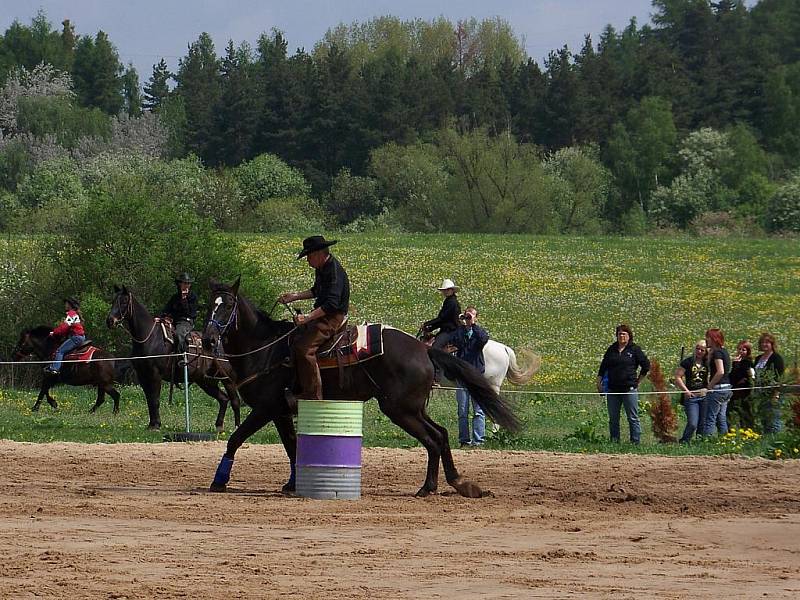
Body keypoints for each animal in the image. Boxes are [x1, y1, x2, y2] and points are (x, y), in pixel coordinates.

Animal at [105, 286, 241, 432]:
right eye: (113, 300)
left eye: (124, 301)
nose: (110, 321)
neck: (149, 338)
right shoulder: (142, 376)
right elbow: (149, 400)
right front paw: (151, 424)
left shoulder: (155, 375)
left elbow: (155, 400)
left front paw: (156, 425)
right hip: (206, 381)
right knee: (223, 399)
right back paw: (219, 426)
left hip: (227, 379)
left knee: (235, 401)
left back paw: (236, 426)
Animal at [203, 278, 520, 500]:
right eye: (209, 305)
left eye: (227, 306)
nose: (207, 339)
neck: (265, 348)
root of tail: (423, 349)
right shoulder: (281, 412)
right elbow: (293, 448)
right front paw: (293, 483)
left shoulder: (265, 408)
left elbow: (236, 439)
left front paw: (218, 481)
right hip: (413, 407)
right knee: (440, 434)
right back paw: (457, 482)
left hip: (399, 409)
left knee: (431, 439)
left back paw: (428, 487)